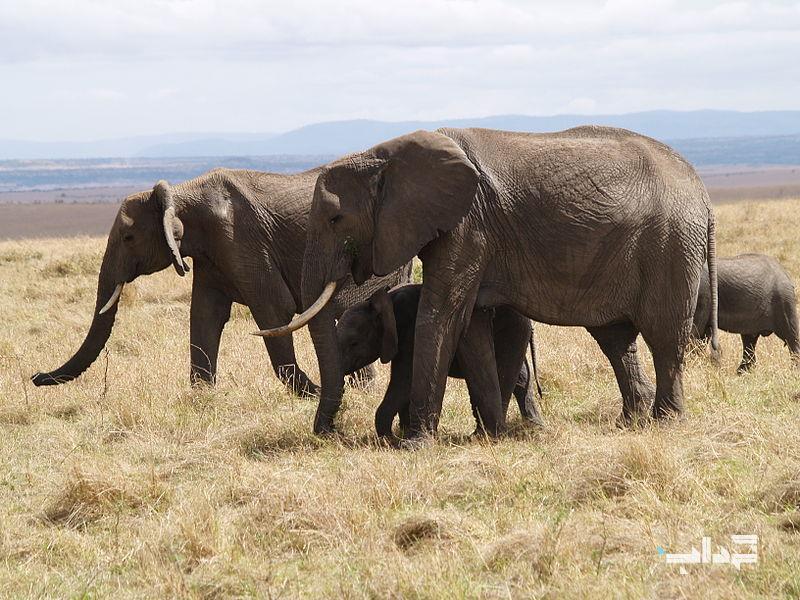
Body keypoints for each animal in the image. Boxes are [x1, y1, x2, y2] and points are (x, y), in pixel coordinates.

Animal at [29, 169, 412, 394]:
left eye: (128, 237)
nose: (34, 377)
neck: (180, 194)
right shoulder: (212, 253)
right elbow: (204, 316)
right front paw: (202, 399)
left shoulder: (241, 241)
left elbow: (274, 313)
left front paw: (310, 393)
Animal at [332, 284, 544, 438]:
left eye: (354, 343)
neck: (386, 301)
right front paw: (403, 431)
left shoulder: (411, 334)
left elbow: (404, 381)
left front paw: (390, 438)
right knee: (521, 380)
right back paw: (535, 427)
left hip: (511, 332)